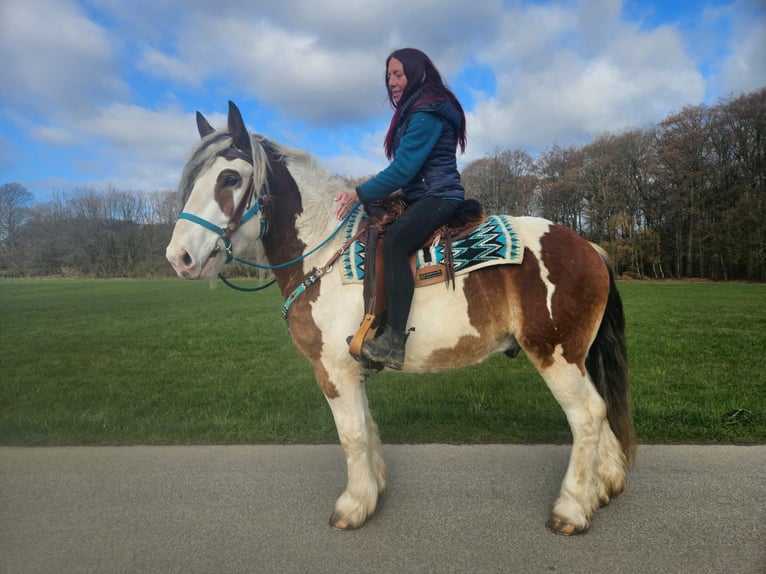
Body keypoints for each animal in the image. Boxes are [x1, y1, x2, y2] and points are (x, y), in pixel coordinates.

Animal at [166, 101, 635, 536]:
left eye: (229, 178)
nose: (179, 257)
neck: (322, 250)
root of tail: (590, 248)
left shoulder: (332, 369)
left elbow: (351, 433)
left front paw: (353, 505)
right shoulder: (350, 368)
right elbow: (366, 426)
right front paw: (372, 490)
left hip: (556, 356)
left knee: (588, 415)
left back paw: (572, 508)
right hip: (576, 357)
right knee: (601, 410)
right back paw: (604, 487)